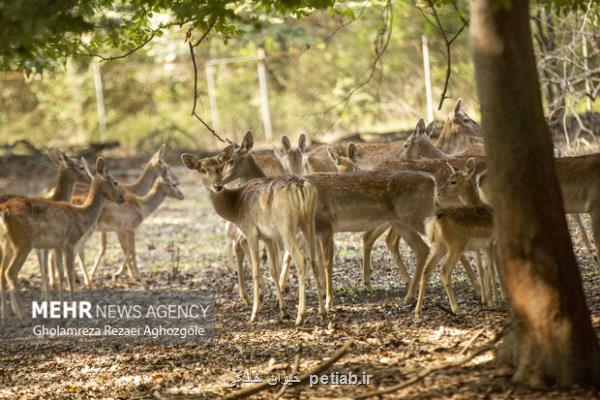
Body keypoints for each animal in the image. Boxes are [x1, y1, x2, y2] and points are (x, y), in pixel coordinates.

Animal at [0, 159, 123, 318]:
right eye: (115, 182)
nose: (122, 198)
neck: (81, 216)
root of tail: (4, 212)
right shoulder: (70, 242)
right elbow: (69, 275)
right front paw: (73, 307)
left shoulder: (57, 245)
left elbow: (60, 273)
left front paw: (62, 307)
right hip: (22, 243)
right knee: (10, 272)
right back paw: (22, 314)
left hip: (7, 244)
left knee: (2, 273)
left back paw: (5, 315)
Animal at [180, 153, 324, 324]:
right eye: (202, 169)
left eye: (221, 166)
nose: (217, 186)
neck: (235, 208)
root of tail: (302, 187)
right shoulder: (268, 237)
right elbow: (272, 269)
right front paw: (283, 312)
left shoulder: (251, 231)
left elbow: (255, 269)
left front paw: (254, 315)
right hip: (309, 221)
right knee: (313, 260)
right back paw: (323, 311)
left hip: (286, 227)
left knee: (301, 260)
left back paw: (300, 316)